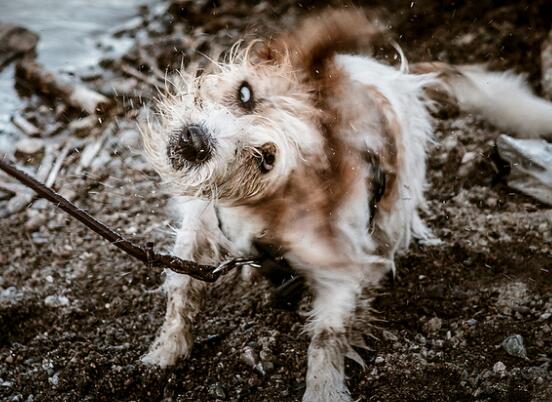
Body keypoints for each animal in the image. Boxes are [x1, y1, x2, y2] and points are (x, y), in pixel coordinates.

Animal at [140, 10, 552, 401]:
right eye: (245, 94)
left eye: (265, 159)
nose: (195, 140)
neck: (266, 211)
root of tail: (396, 77)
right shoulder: (200, 227)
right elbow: (181, 292)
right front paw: (164, 353)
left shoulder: (342, 269)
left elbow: (327, 337)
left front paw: (323, 389)